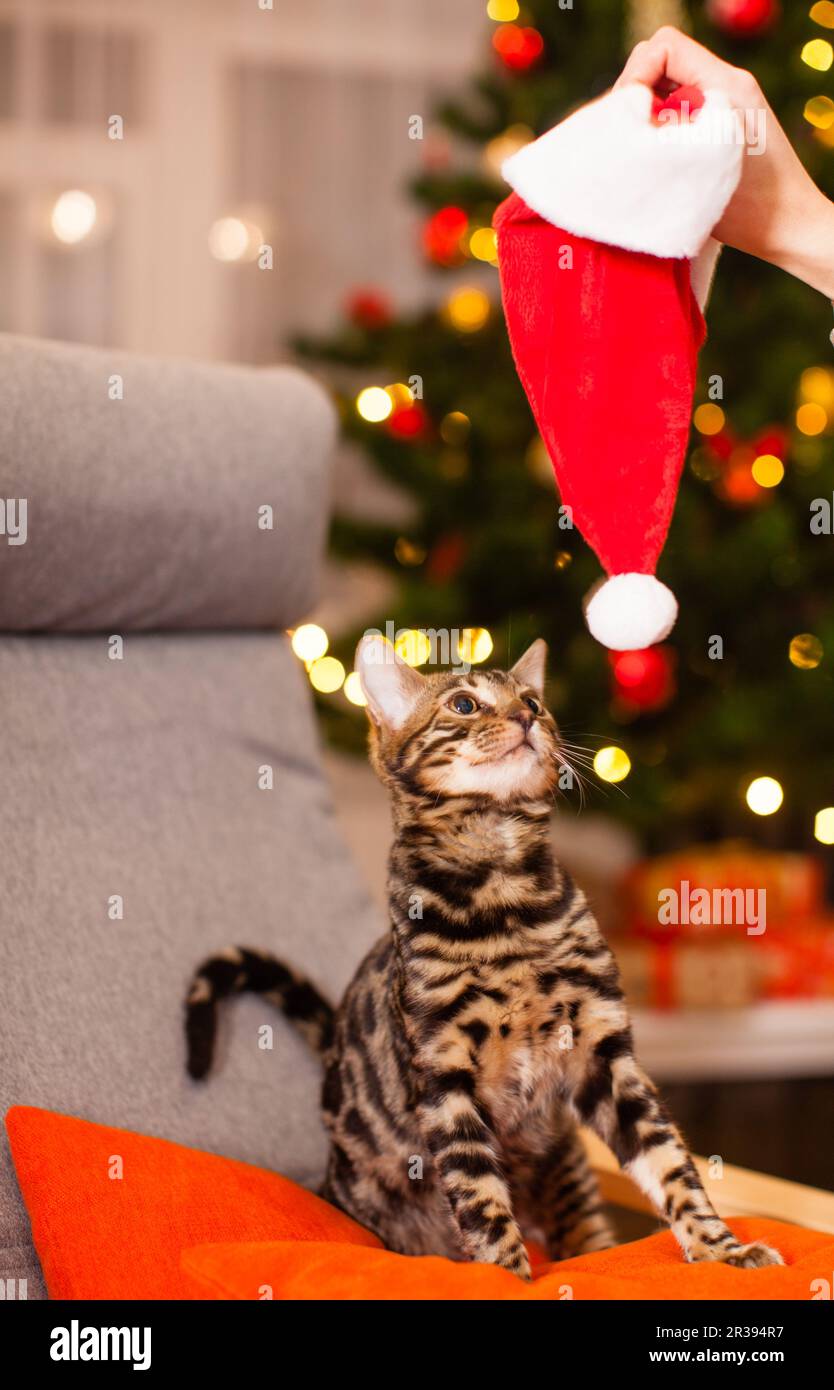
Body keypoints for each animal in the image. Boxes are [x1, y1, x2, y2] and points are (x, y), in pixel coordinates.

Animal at [187, 636, 783, 1273]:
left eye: (534, 701)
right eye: (465, 704)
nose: (526, 716)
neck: (503, 895)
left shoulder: (605, 1053)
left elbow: (670, 1163)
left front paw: (722, 1249)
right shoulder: (445, 1077)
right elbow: (480, 1198)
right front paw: (510, 1276)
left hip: (566, 1163)